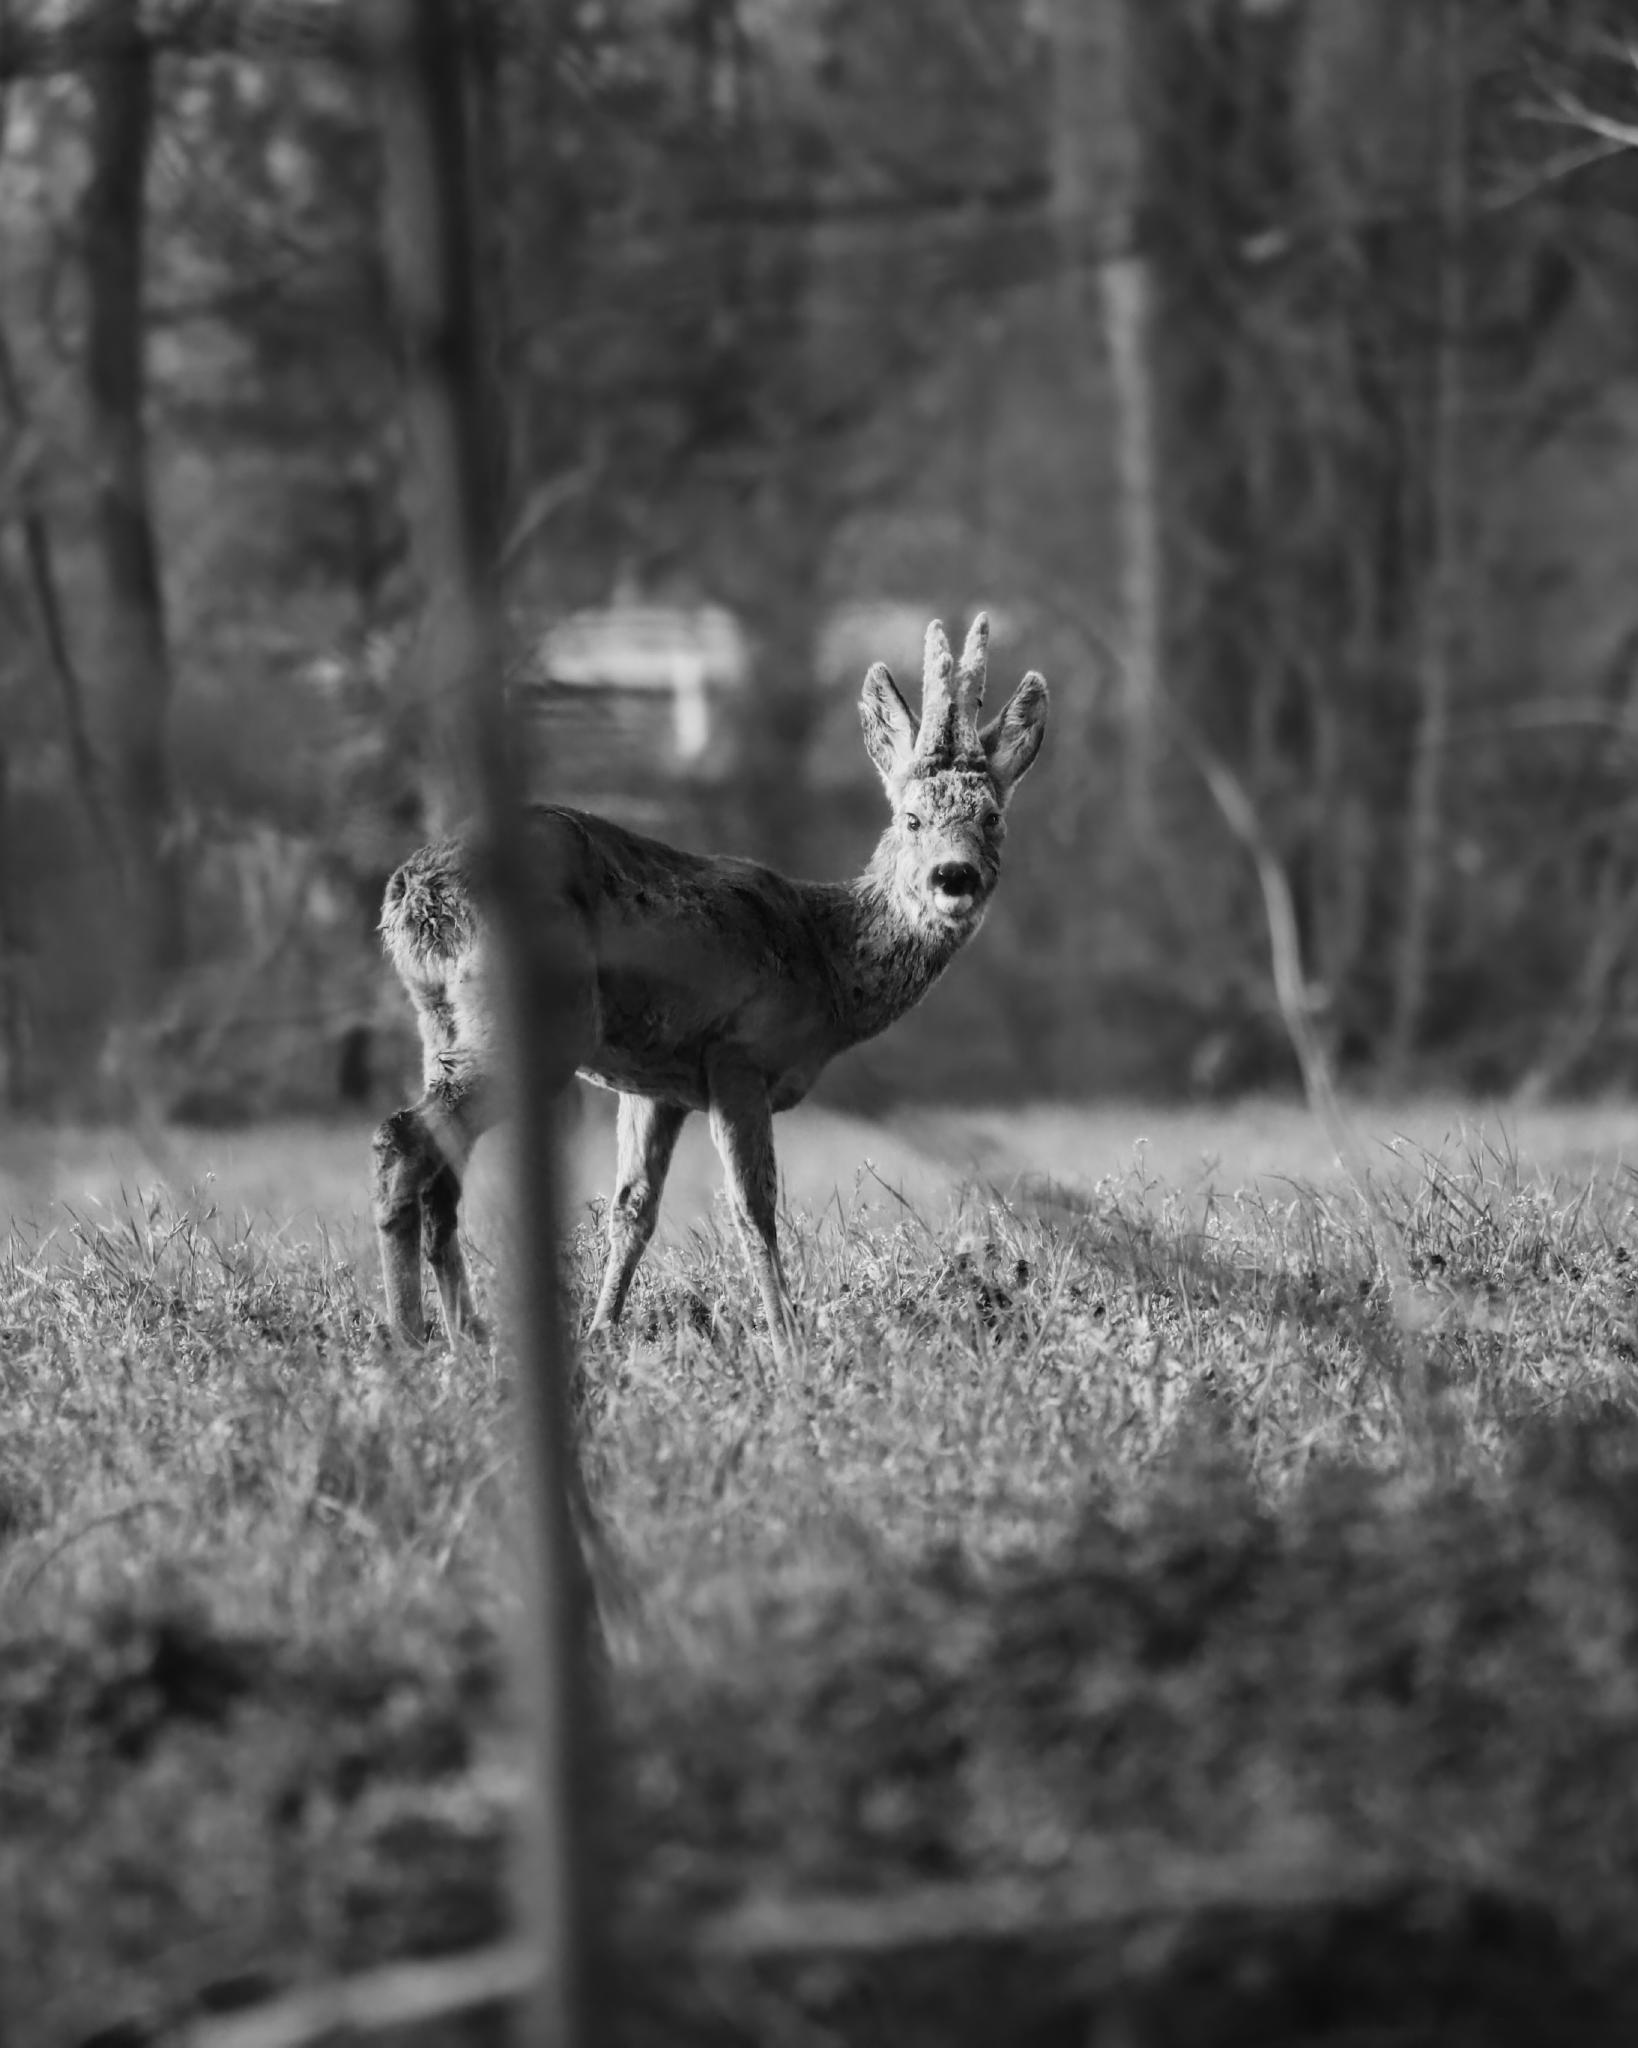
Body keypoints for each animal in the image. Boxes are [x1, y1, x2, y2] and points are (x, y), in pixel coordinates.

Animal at [371, 612, 1048, 1362]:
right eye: (910, 818)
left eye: (992, 817)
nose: (953, 876)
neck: (827, 957)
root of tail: (413, 889)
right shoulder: (738, 1052)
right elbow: (754, 1207)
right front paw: (788, 1345)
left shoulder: (655, 1083)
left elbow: (633, 1209)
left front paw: (603, 1334)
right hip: (541, 1019)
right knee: (404, 1138)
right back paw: (410, 1340)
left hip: (441, 1021)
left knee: (439, 1167)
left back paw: (468, 1337)